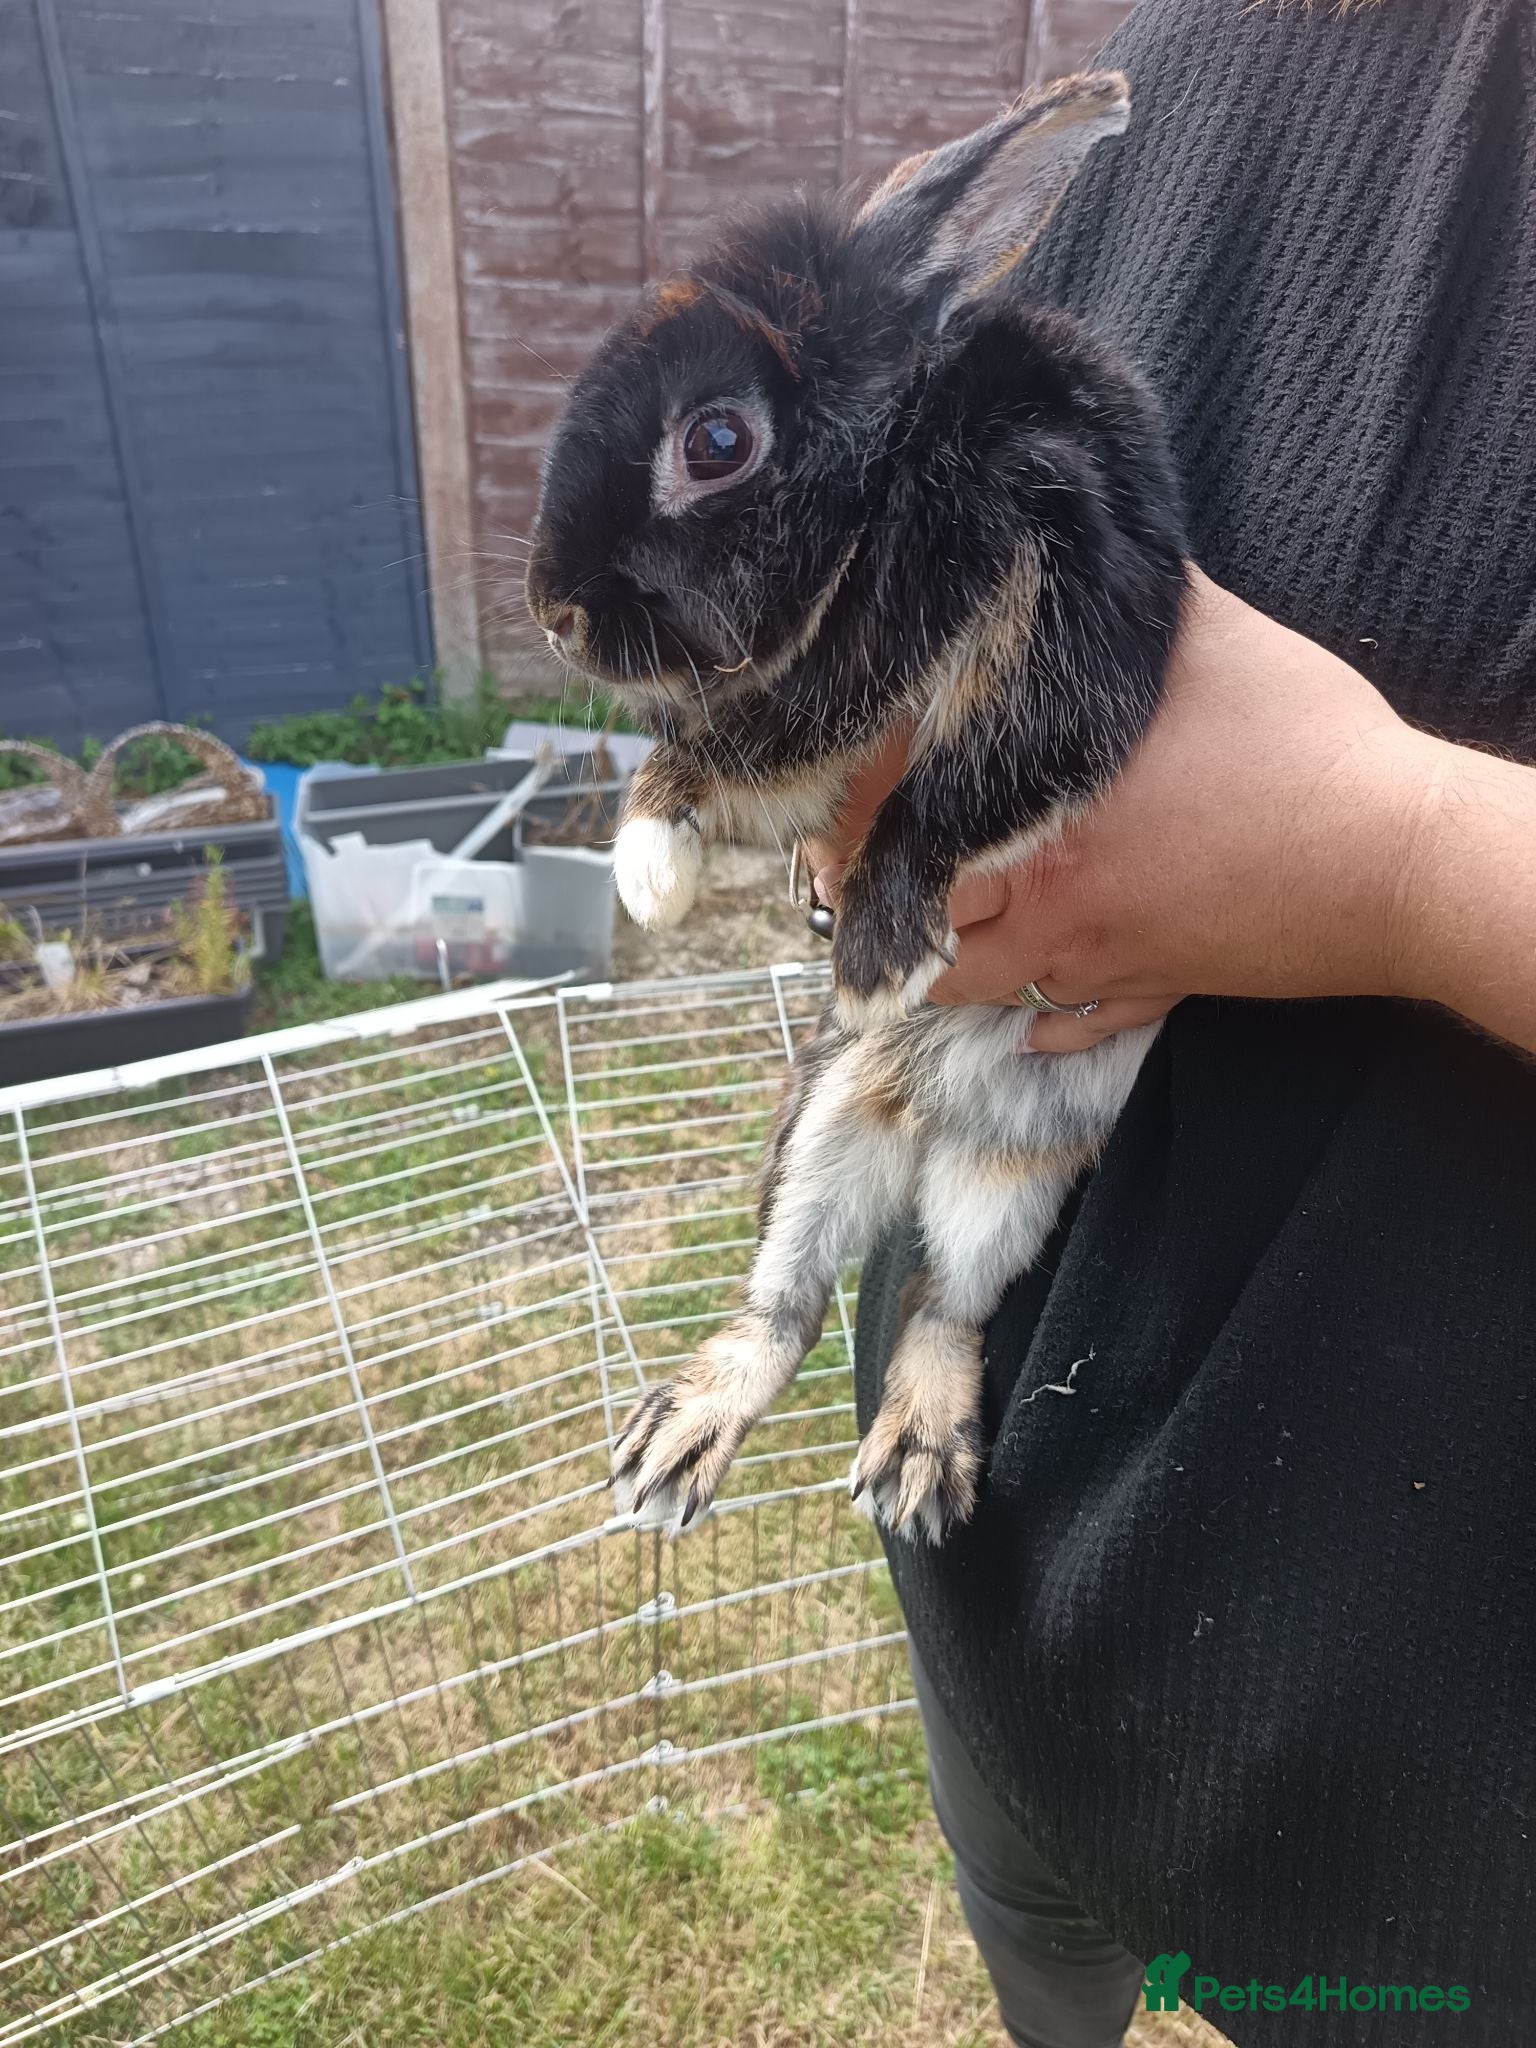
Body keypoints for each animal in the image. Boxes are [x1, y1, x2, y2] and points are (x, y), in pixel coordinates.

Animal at [525, 71, 1187, 1543]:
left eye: (716, 441)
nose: (554, 611)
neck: (889, 475)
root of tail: (933, 1139)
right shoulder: (794, 728)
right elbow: (703, 754)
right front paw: (651, 863)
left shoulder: (1068, 607)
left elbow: (961, 787)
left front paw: (881, 944)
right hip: (820, 1125)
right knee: (785, 1301)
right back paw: (676, 1443)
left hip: (1019, 1188)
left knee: (941, 1303)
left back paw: (918, 1462)